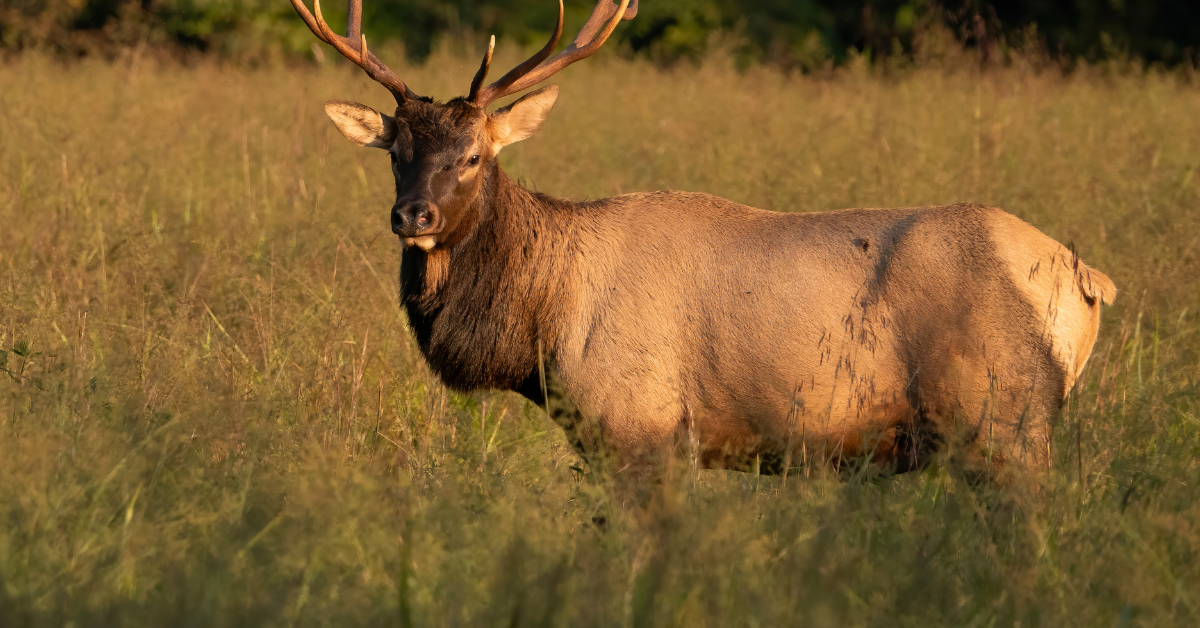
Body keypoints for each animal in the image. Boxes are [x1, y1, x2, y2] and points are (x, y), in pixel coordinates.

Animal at [288, 0, 1113, 487]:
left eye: (473, 156)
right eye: (396, 151)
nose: (413, 216)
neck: (540, 329)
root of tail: (1087, 280)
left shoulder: (637, 424)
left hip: (1005, 421)